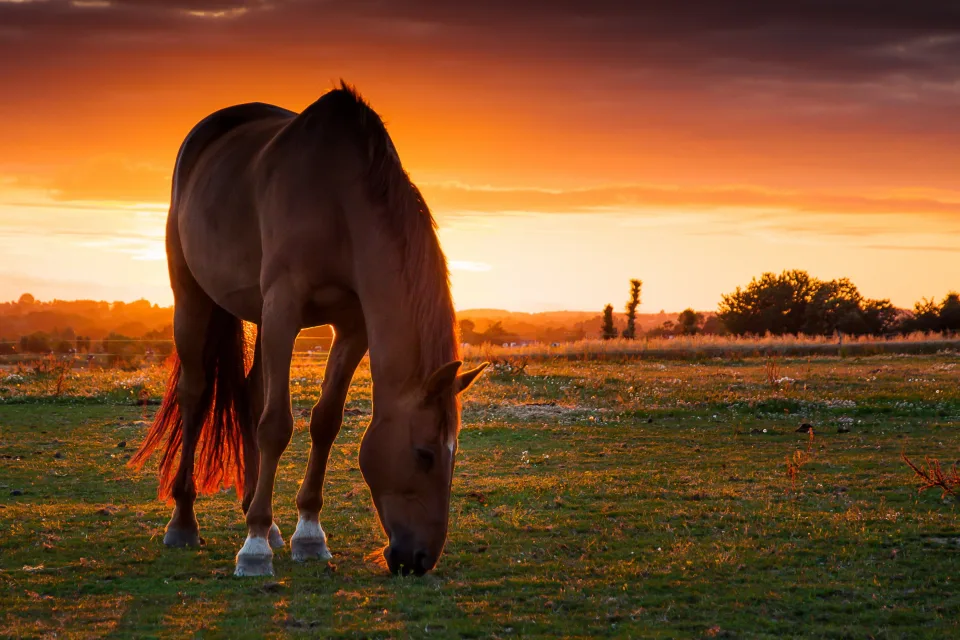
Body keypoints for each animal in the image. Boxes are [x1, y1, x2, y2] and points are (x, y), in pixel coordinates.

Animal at [130, 82, 488, 577]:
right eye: (425, 454)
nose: (419, 560)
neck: (339, 201)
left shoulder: (352, 326)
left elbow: (325, 421)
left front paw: (308, 534)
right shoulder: (285, 308)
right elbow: (277, 425)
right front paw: (254, 548)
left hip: (259, 316)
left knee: (250, 394)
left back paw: (262, 516)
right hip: (194, 299)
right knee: (196, 394)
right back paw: (185, 523)